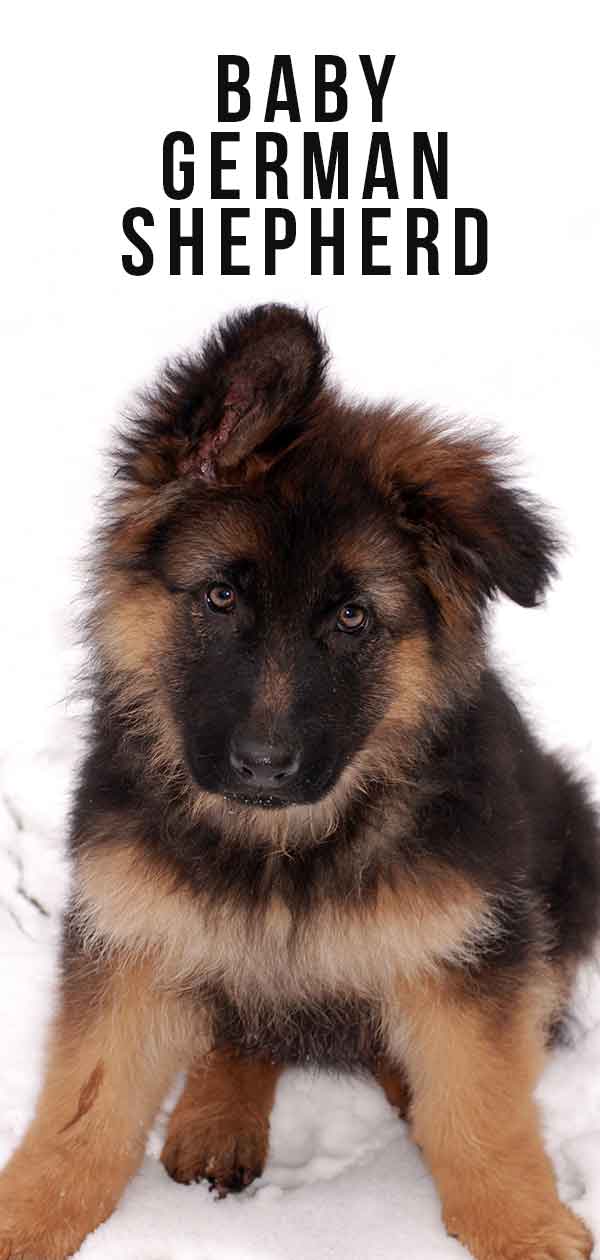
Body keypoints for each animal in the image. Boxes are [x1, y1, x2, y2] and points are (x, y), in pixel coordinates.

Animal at [2, 307, 597, 1260]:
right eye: (220, 597)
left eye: (351, 618)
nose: (263, 766)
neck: (280, 848)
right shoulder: (134, 930)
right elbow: (83, 1109)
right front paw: (26, 1216)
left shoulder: (469, 948)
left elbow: (481, 1105)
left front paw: (522, 1221)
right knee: (240, 1027)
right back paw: (217, 1116)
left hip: (573, 851)